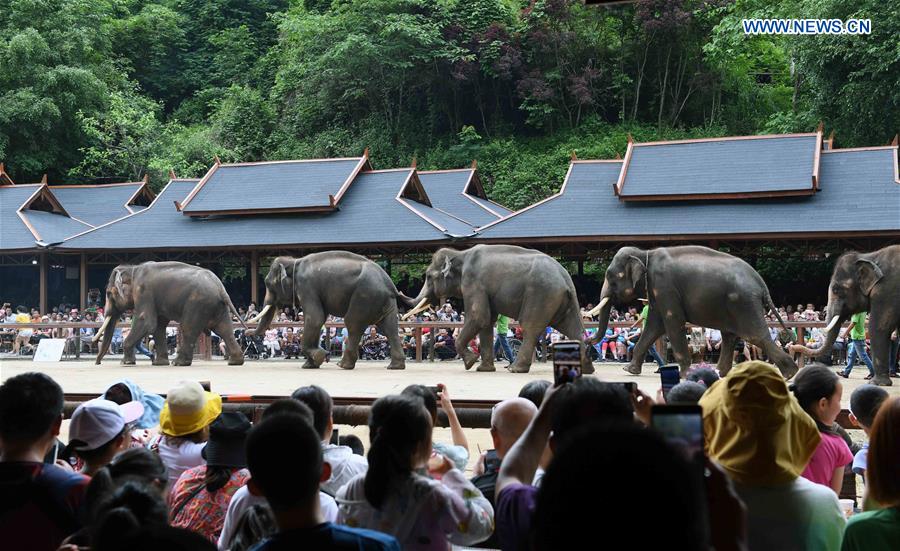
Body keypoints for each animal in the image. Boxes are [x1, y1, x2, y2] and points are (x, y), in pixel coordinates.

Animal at [93, 261, 245, 366]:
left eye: (108, 293)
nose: (97, 363)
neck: (132, 269)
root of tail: (220, 287)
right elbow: (158, 327)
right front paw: (159, 363)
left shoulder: (144, 292)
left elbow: (146, 322)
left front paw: (126, 363)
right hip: (217, 307)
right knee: (224, 329)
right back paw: (235, 362)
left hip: (198, 303)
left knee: (188, 328)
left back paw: (179, 363)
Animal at [246, 251, 412, 370]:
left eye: (268, 284)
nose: (247, 332)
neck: (294, 262)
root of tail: (390, 285)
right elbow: (318, 320)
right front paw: (310, 364)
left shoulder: (306, 286)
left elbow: (315, 318)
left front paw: (320, 356)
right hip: (383, 302)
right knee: (390, 328)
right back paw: (395, 366)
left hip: (365, 296)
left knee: (353, 324)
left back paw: (343, 365)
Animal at [403, 244, 593, 374]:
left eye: (428, 276)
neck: (460, 253)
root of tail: (566, 278)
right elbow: (487, 321)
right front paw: (483, 369)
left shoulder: (473, 283)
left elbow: (478, 317)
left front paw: (470, 362)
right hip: (561, 301)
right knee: (573, 329)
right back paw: (586, 369)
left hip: (542, 295)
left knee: (530, 328)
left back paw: (515, 369)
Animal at [587, 245, 796, 379]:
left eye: (611, 277)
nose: (587, 340)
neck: (645, 253)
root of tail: (761, 283)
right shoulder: (657, 291)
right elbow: (654, 325)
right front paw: (629, 370)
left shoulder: (665, 286)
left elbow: (671, 322)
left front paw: (685, 375)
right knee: (729, 335)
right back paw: (720, 373)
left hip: (744, 303)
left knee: (755, 336)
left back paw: (790, 374)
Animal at [792, 245, 900, 386]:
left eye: (836, 290)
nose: (792, 347)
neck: (869, 256)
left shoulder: (886, 291)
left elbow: (878, 327)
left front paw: (877, 384)